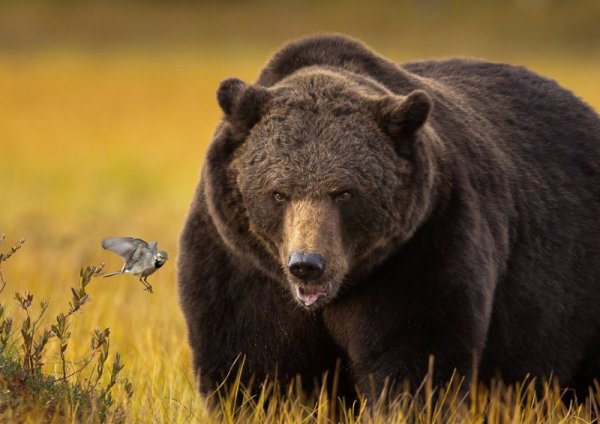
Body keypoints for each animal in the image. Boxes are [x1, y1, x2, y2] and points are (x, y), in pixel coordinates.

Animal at [177, 34, 600, 400]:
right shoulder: (240, 265)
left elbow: (413, 357)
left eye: (344, 192)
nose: (307, 264)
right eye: (278, 193)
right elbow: (254, 367)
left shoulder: (417, 249)